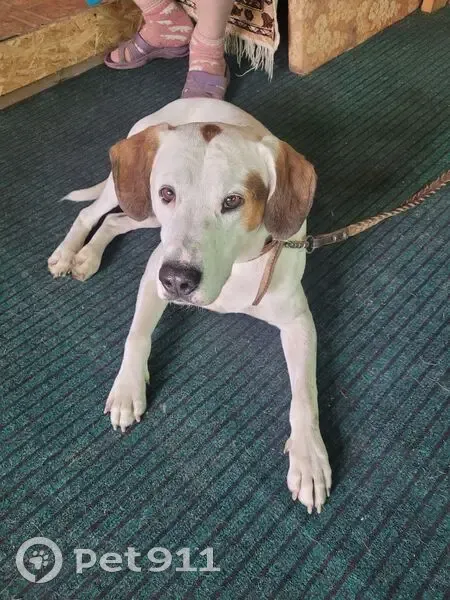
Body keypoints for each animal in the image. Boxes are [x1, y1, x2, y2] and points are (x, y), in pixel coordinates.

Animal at [49, 98, 331, 513]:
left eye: (233, 201)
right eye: (168, 193)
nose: (177, 281)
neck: (233, 270)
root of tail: (185, 101)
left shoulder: (298, 323)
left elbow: (305, 396)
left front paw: (308, 455)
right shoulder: (155, 270)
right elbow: (138, 336)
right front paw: (128, 388)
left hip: (147, 216)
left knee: (116, 222)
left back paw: (88, 256)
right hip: (133, 196)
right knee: (93, 213)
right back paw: (68, 252)